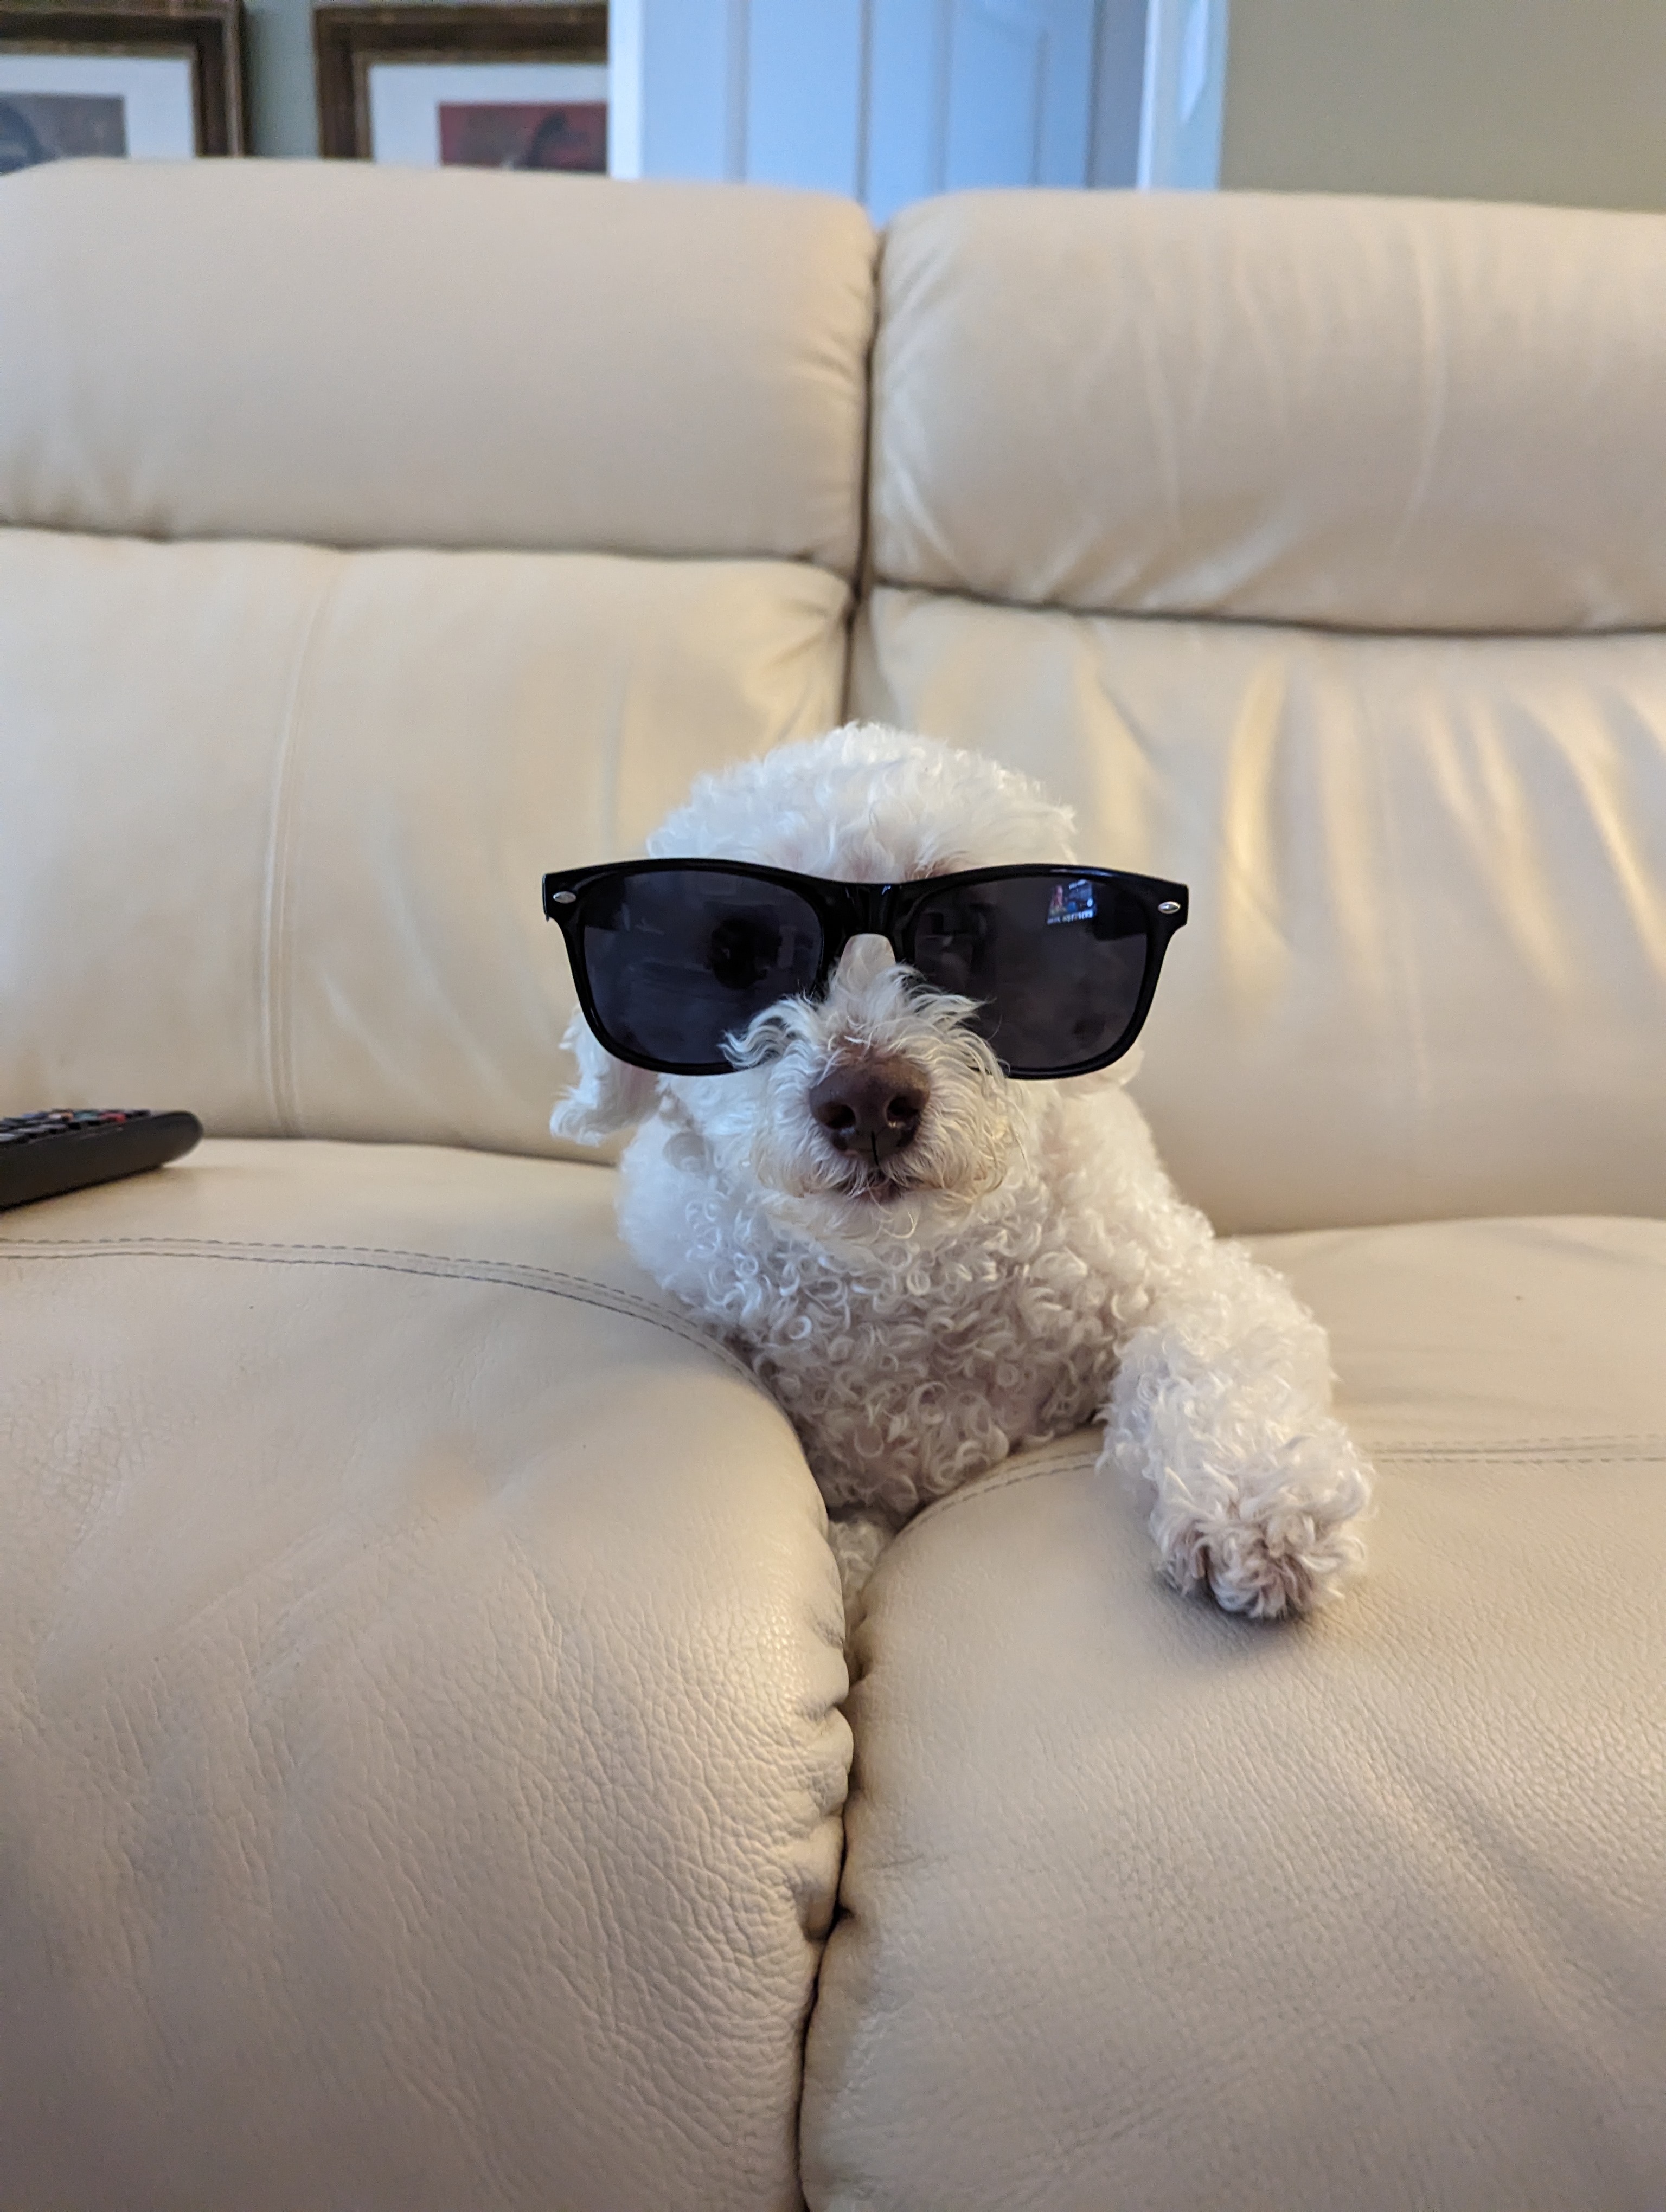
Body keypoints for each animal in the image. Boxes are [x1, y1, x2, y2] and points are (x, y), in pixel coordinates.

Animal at [553, 725, 1372, 1628]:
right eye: (741, 954)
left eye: (960, 931)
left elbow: (1213, 1354)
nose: (869, 1101)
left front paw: (1261, 1499)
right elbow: (848, 1542)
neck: (905, 1276)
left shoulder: (1184, 1279)